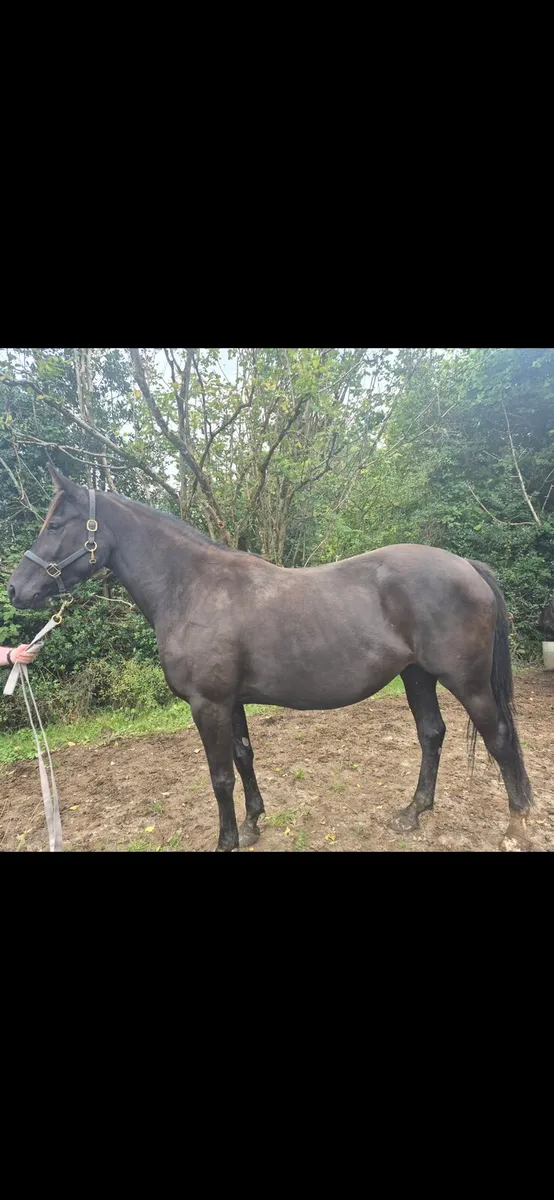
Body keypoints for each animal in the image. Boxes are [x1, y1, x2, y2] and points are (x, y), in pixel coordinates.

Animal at [7, 467, 534, 852]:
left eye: (55, 524)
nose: (15, 590)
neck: (192, 588)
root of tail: (466, 565)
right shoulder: (231, 702)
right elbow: (243, 759)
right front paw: (253, 823)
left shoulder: (208, 704)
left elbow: (220, 776)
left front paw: (226, 841)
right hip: (417, 676)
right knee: (432, 735)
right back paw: (413, 813)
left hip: (466, 682)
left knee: (499, 738)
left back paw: (516, 826)